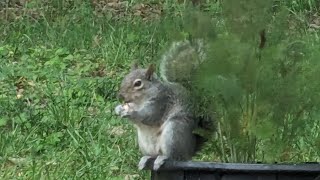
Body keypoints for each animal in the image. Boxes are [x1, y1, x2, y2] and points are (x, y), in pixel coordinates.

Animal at [114, 38, 214, 171]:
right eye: (125, 78)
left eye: (138, 83)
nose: (120, 96)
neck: (140, 101)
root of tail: (189, 152)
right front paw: (118, 108)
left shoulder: (161, 103)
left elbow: (149, 116)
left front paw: (131, 112)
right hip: (145, 143)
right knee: (154, 154)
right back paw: (146, 158)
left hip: (173, 132)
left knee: (173, 156)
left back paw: (162, 159)